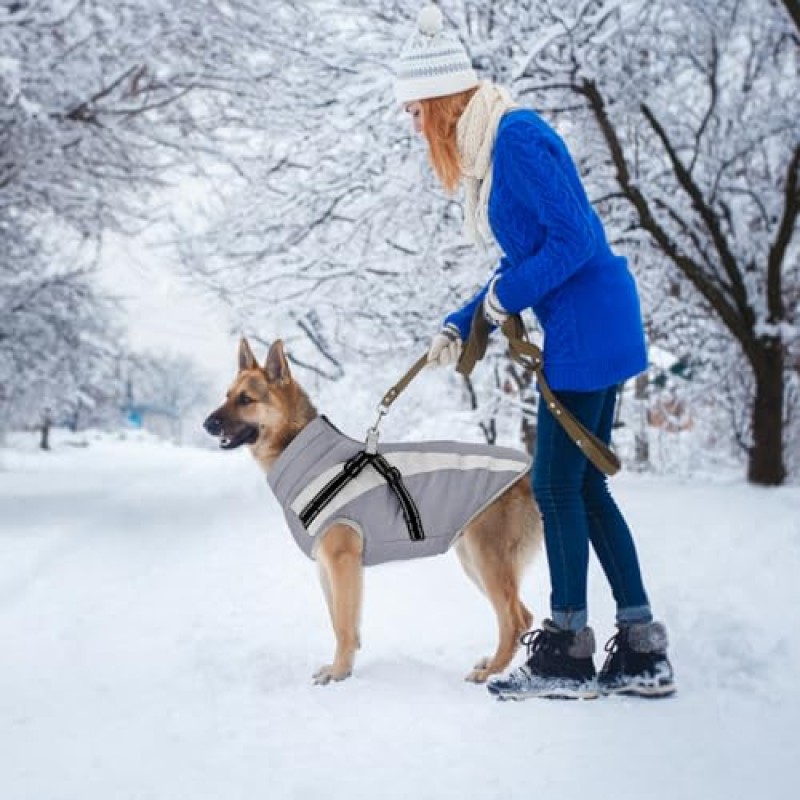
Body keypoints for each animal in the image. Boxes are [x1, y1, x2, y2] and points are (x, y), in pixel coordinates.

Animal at [205, 334, 544, 684]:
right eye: (227, 396)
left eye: (245, 399)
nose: (206, 424)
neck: (300, 446)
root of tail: (529, 471)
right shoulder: (326, 566)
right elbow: (342, 623)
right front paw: (343, 669)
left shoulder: (342, 562)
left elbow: (343, 625)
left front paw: (339, 672)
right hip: (473, 561)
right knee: (523, 615)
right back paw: (495, 664)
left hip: (486, 559)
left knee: (513, 620)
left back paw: (490, 672)